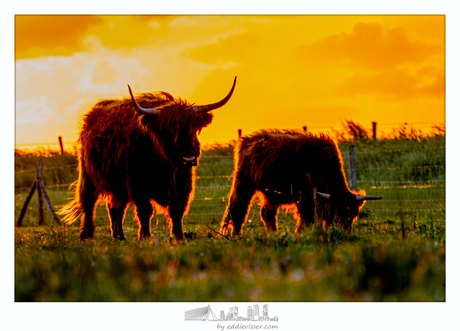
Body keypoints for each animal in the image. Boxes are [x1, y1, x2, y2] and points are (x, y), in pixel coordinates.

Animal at [58, 76, 237, 241]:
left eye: (194, 129)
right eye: (167, 131)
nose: (188, 158)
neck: (164, 165)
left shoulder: (182, 182)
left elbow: (177, 210)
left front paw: (179, 237)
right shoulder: (137, 182)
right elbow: (145, 210)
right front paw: (145, 237)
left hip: (118, 185)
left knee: (115, 208)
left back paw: (119, 237)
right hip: (88, 176)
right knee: (88, 203)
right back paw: (87, 235)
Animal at [219, 129, 380, 236]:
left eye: (353, 214)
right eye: (339, 212)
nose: (345, 232)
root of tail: (249, 139)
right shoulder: (304, 196)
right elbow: (306, 218)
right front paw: (301, 234)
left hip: (270, 193)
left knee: (267, 213)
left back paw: (272, 234)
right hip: (244, 183)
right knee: (237, 208)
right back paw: (236, 235)